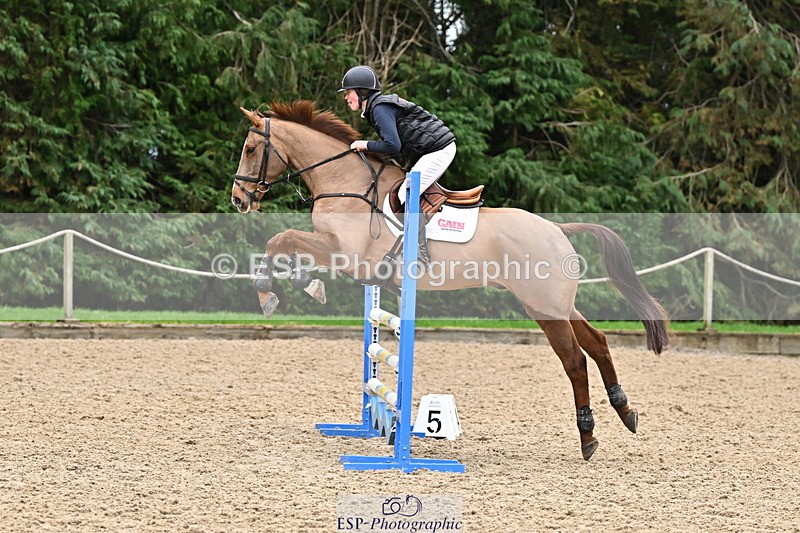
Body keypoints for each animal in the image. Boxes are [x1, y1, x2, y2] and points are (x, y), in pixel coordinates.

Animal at [230, 100, 669, 461]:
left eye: (251, 149)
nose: (238, 199)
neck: (347, 183)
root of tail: (557, 228)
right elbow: (284, 243)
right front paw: (301, 283)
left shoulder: (347, 255)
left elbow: (281, 239)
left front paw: (275, 292)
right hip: (554, 304)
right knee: (597, 342)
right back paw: (625, 410)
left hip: (545, 307)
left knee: (575, 360)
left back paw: (588, 436)